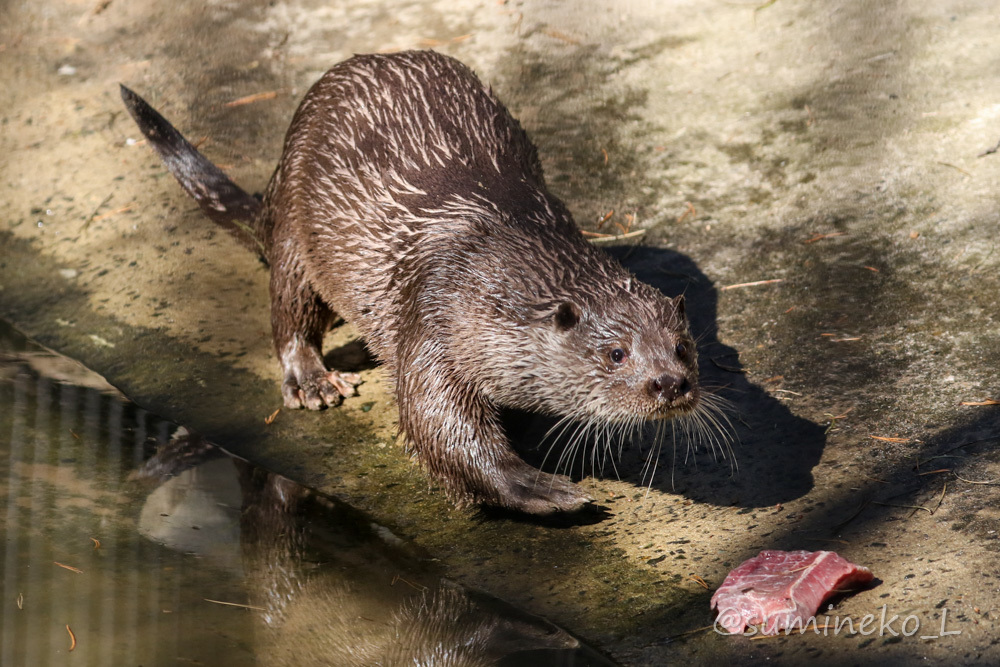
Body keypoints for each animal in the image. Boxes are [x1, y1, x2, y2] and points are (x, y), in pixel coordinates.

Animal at [121, 51, 700, 516]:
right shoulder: (435, 317)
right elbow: (434, 419)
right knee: (289, 310)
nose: (670, 383)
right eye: (616, 354)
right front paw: (539, 487)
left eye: (682, 347)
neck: (493, 256)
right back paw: (312, 381)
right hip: (293, 234)